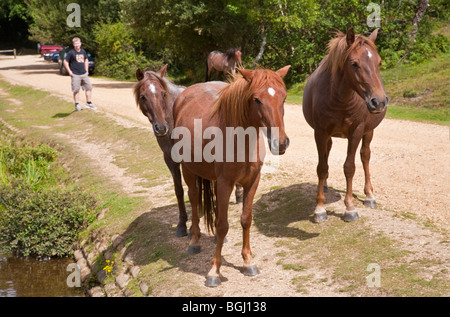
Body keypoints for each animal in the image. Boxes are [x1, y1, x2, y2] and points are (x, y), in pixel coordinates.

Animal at [172, 65, 292, 286]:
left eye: (284, 97)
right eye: (256, 99)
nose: (280, 142)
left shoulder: (252, 182)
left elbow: (246, 219)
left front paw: (248, 262)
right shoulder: (225, 183)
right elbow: (222, 225)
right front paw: (214, 271)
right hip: (188, 170)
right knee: (194, 200)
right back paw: (194, 242)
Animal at [304, 28, 388, 222]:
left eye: (379, 62)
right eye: (354, 63)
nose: (379, 102)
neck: (340, 98)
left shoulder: (356, 131)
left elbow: (350, 167)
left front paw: (350, 208)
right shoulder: (320, 132)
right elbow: (322, 167)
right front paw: (319, 209)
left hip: (369, 132)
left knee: (365, 157)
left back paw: (369, 196)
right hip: (328, 135)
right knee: (327, 154)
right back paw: (324, 186)